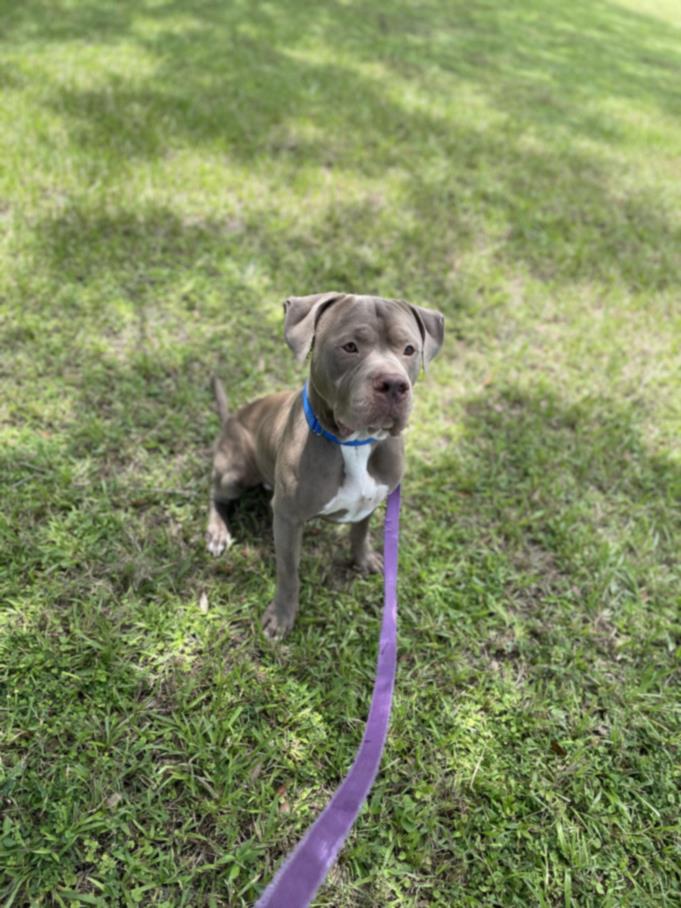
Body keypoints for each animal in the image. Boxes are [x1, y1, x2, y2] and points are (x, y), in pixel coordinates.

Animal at [205, 292, 444, 640]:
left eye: (409, 349)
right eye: (350, 346)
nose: (394, 384)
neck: (356, 443)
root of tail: (231, 418)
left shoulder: (373, 500)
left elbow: (360, 532)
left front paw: (363, 560)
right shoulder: (288, 518)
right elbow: (288, 572)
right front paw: (281, 617)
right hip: (233, 471)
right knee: (216, 494)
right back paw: (218, 532)